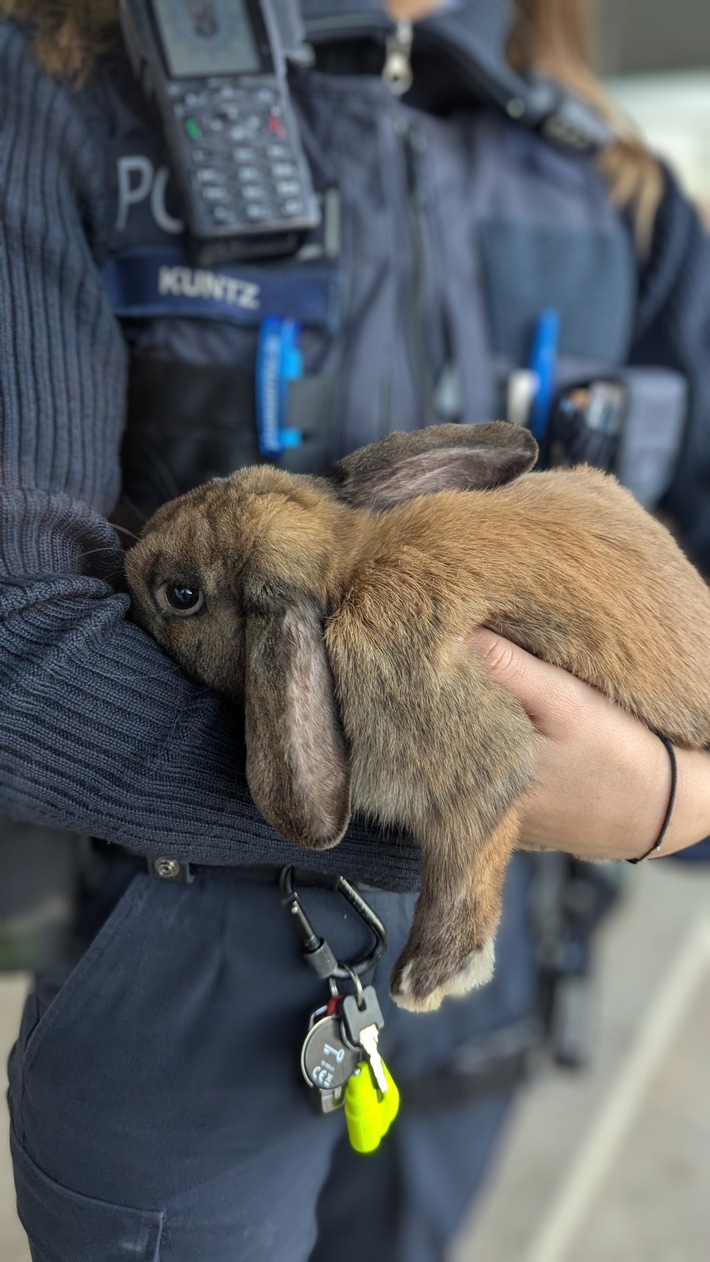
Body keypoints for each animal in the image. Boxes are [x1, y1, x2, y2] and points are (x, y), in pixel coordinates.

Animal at [126, 429, 710, 1009]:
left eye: (182, 595)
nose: (127, 563)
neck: (351, 565)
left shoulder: (457, 738)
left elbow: (464, 859)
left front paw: (424, 981)